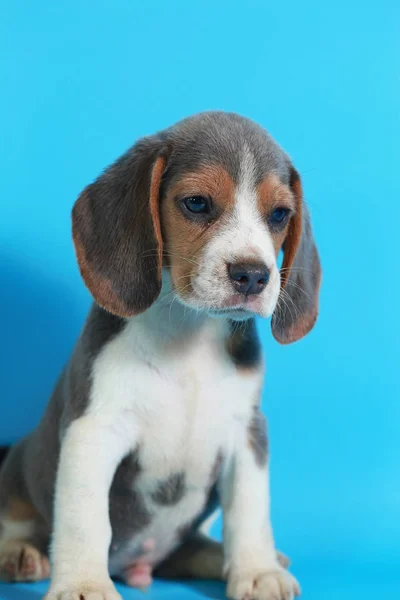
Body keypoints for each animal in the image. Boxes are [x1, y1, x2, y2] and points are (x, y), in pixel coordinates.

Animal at [0, 112, 320, 600]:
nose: (253, 275)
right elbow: (85, 519)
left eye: (280, 214)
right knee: (17, 521)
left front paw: (257, 569)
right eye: (197, 204)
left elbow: (249, 511)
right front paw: (83, 584)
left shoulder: (247, 434)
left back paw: (237, 559)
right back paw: (20, 554)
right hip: (18, 469)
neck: (189, 334)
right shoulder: (93, 430)